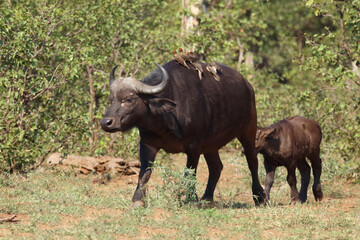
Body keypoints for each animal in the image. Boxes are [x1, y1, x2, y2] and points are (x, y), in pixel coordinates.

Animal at [100, 60, 266, 206]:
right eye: (111, 100)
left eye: (128, 99)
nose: (105, 122)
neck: (165, 119)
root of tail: (247, 86)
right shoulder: (147, 143)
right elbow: (144, 172)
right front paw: (138, 200)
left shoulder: (194, 146)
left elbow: (190, 173)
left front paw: (191, 199)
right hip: (211, 145)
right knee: (216, 167)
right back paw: (207, 199)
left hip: (248, 130)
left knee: (252, 161)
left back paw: (260, 197)